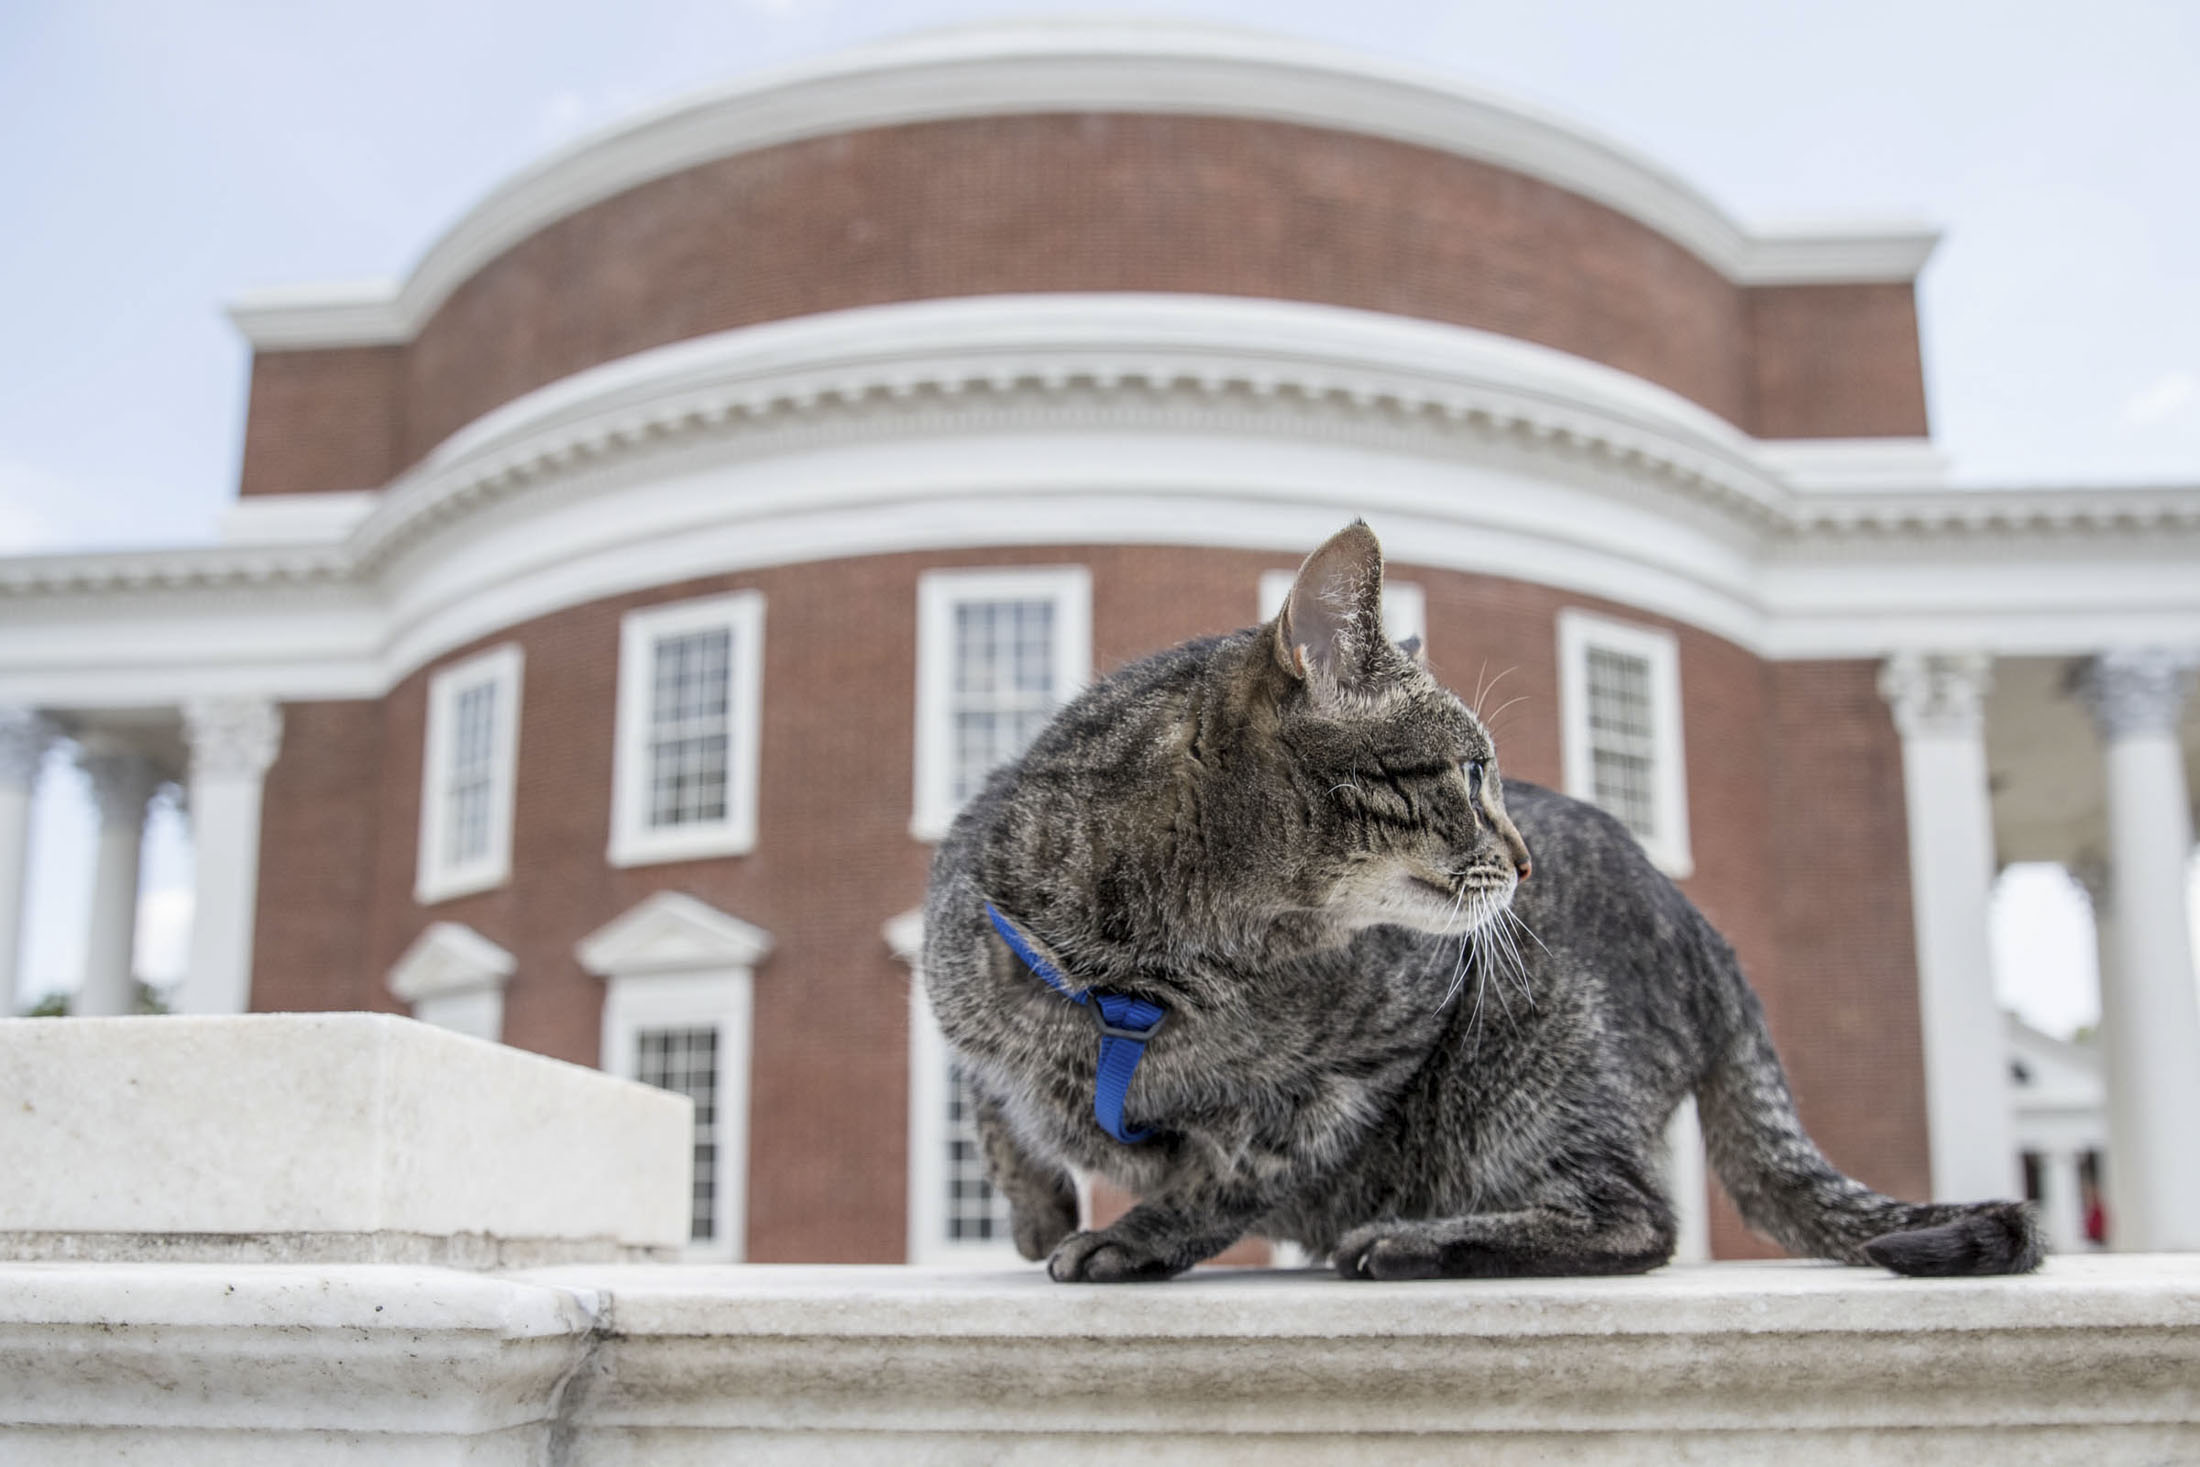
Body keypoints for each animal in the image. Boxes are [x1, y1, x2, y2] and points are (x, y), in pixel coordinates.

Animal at [915, 521, 2041, 1275]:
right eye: (1466, 773)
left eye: (1495, 774)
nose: (1525, 858)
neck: (1137, 973)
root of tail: (1714, 944)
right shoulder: (959, 981)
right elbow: (990, 1104)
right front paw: (1036, 1210)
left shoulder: (1370, 1056)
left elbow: (1231, 1170)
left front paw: (1133, 1238)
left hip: (1537, 1061)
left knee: (1640, 1220)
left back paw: (1415, 1243)